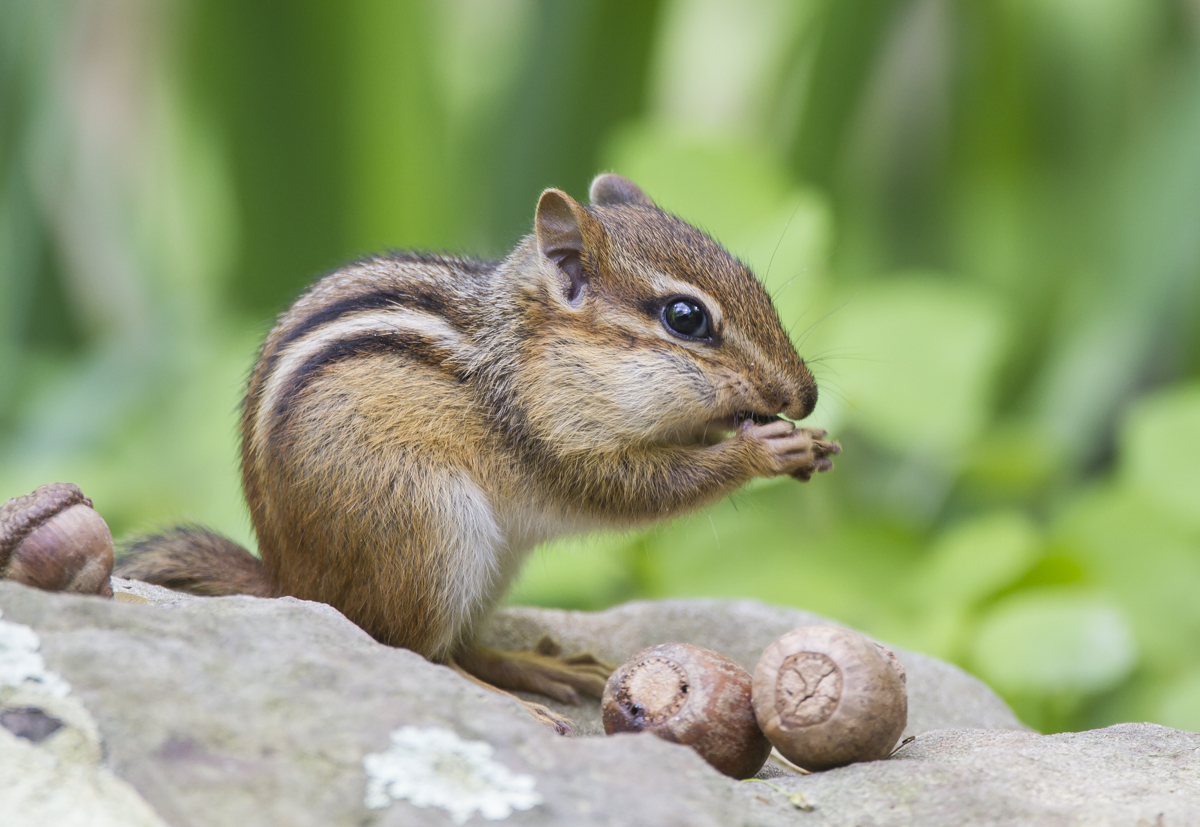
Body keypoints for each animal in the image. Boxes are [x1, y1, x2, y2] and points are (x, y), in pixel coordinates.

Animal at [115, 173, 840, 731]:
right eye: (686, 318)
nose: (805, 395)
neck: (532, 349)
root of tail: (291, 583)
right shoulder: (554, 441)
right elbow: (634, 490)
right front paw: (761, 451)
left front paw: (809, 446)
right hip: (432, 530)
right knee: (416, 652)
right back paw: (511, 703)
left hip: (490, 560)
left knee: (464, 645)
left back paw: (537, 665)